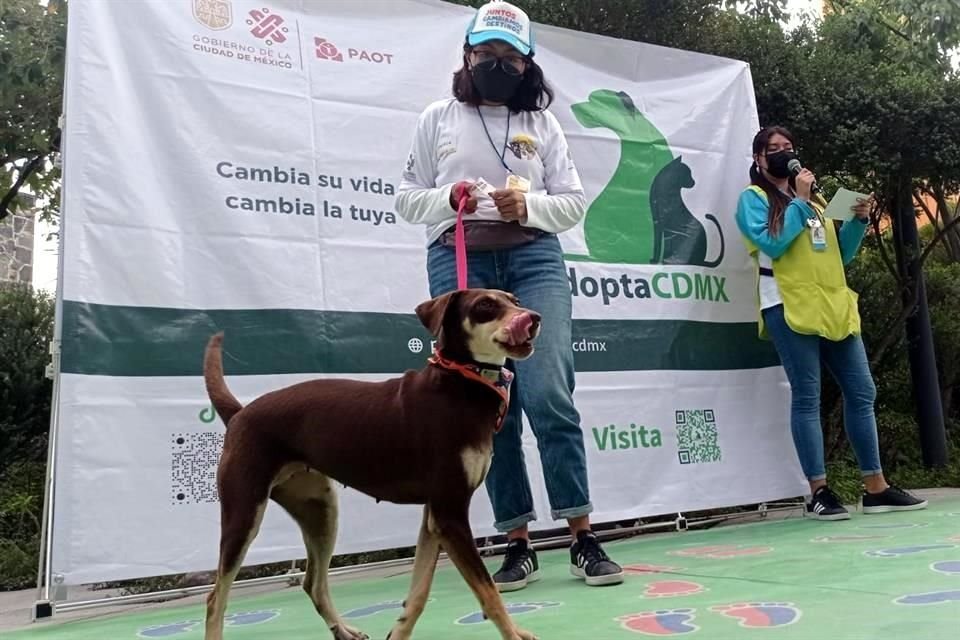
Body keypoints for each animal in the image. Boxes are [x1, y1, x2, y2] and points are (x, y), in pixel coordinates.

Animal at [204, 290, 540, 640]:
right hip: (244, 515)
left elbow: (418, 594)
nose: (533, 318)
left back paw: (343, 630)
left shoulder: (433, 517)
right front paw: (513, 634)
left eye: (515, 300)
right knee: (216, 598)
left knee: (313, 583)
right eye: (485, 305)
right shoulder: (450, 514)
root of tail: (239, 414)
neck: (460, 383)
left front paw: (398, 633)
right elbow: (487, 591)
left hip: (320, 511)